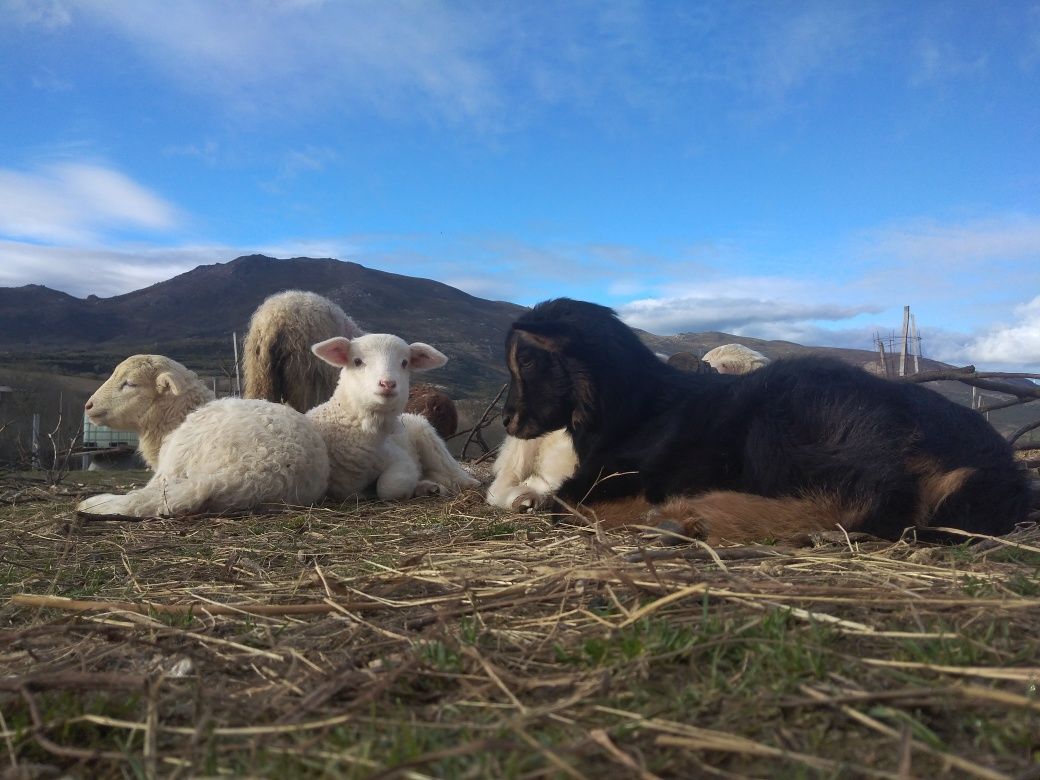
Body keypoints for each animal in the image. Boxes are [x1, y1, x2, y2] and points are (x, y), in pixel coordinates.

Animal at [303, 334, 476, 501]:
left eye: (405, 363)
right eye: (357, 361)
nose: (388, 384)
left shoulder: (401, 459)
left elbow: (388, 486)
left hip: (429, 438)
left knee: (451, 470)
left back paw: (464, 483)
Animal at [499, 297, 1027, 544]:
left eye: (526, 360)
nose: (507, 421)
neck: (635, 408)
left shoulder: (610, 478)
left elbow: (565, 504)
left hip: (786, 423)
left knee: (869, 499)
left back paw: (691, 516)